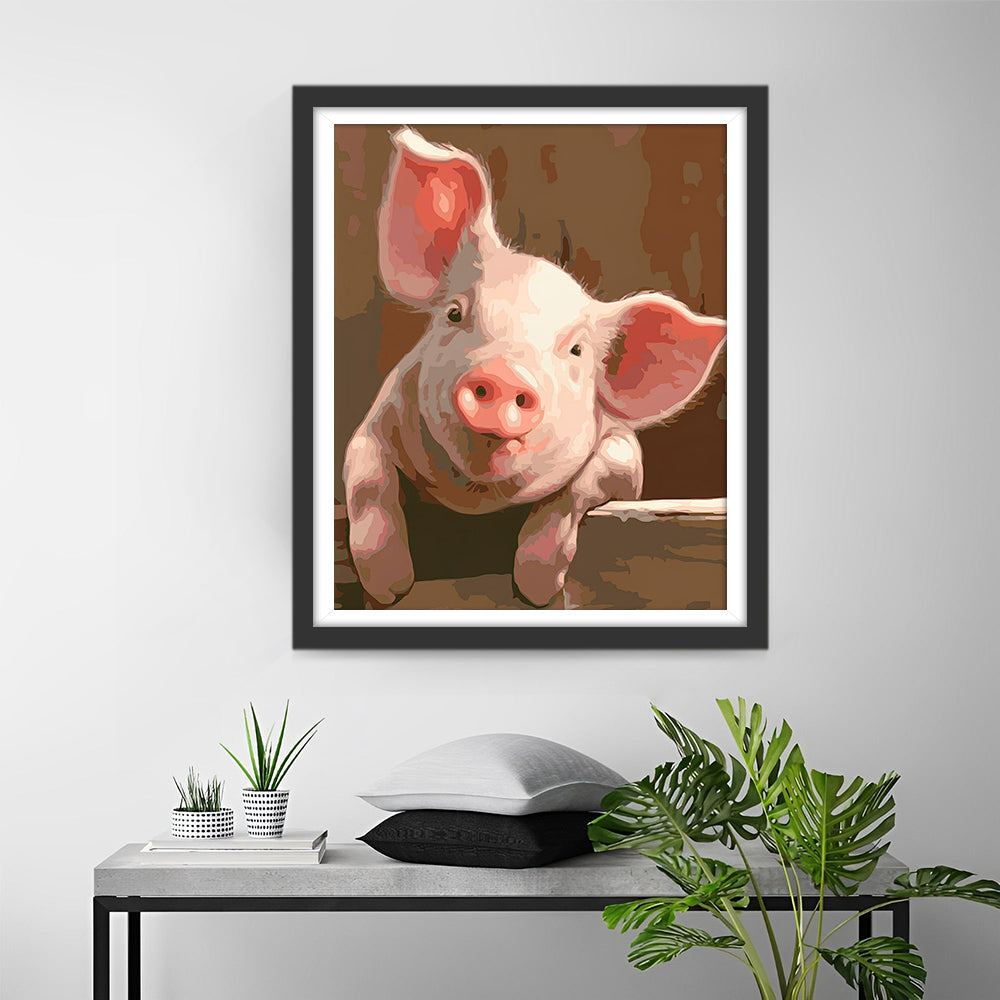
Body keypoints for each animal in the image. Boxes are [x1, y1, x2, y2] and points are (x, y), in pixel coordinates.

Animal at [343, 128, 726, 608]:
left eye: (576, 351)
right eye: (454, 313)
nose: (503, 376)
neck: (475, 501)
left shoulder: (627, 460)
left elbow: (577, 491)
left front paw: (535, 594)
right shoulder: (375, 420)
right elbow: (365, 474)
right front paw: (391, 590)